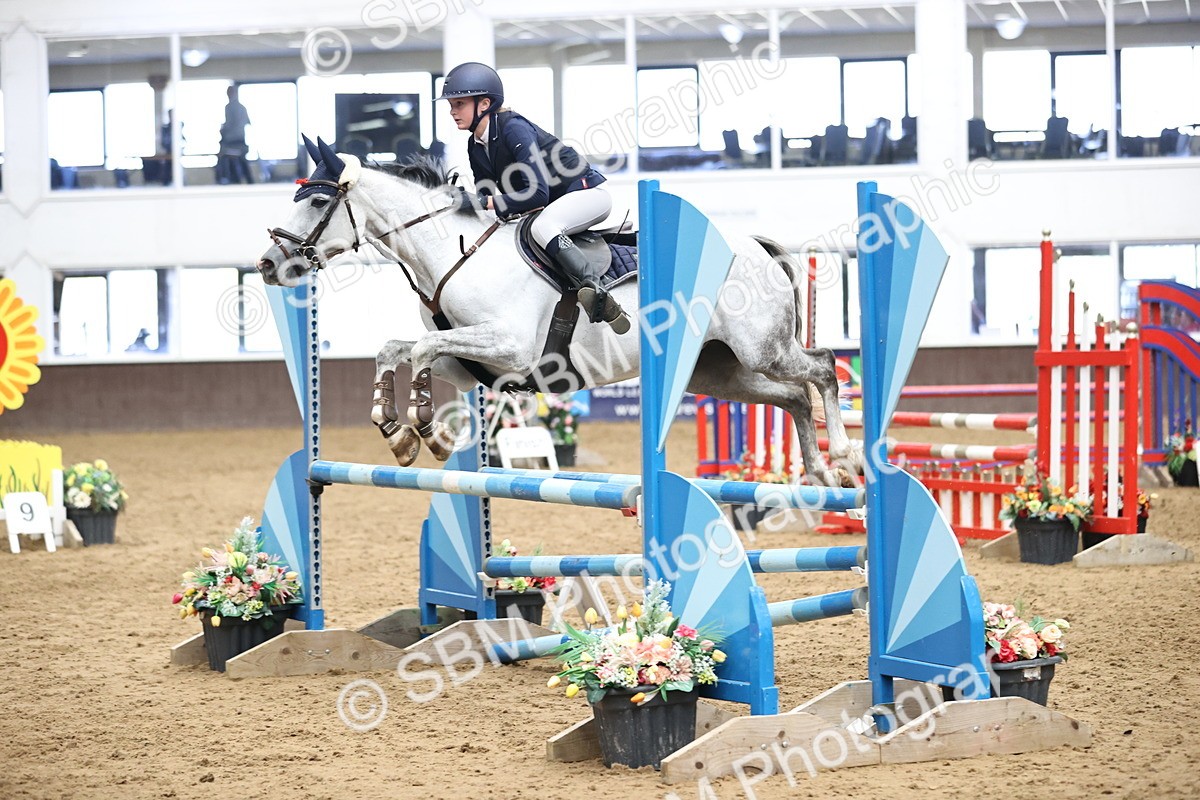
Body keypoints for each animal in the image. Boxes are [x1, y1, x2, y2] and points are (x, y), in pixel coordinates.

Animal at [257, 138, 858, 486]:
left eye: (317, 201)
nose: (267, 264)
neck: (452, 255)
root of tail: (754, 247)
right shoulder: (471, 364)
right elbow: (397, 348)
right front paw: (395, 430)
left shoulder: (511, 348)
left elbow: (422, 349)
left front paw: (427, 429)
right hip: (719, 371)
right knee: (791, 398)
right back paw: (819, 471)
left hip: (763, 349)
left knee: (823, 367)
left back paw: (847, 457)